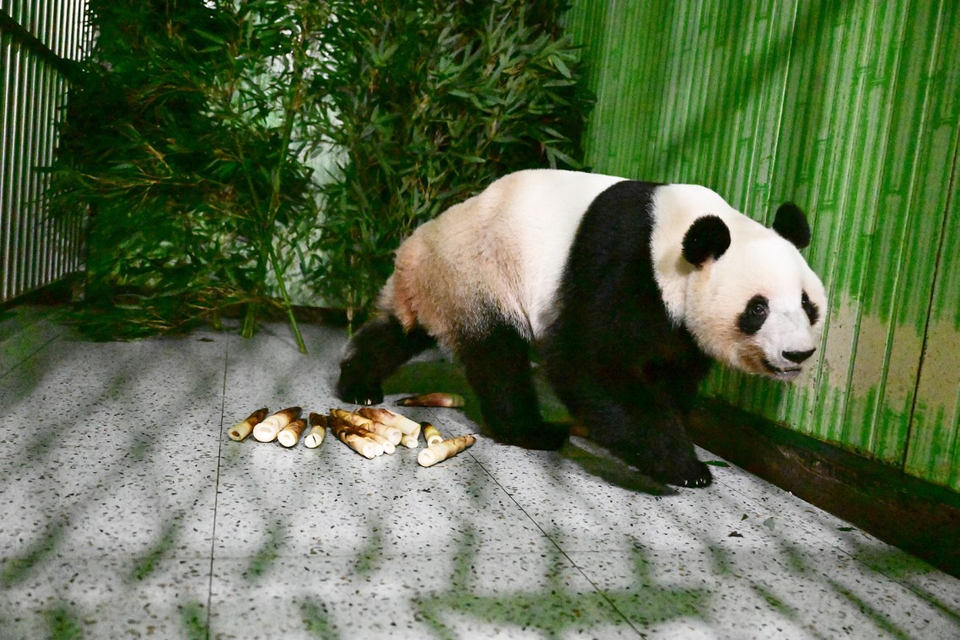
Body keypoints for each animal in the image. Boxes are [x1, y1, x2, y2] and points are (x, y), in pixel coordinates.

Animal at [337, 169, 827, 488]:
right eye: (758, 308)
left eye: (808, 304)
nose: (797, 354)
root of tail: (414, 248)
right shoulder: (623, 262)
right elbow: (587, 361)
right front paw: (683, 467)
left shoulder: (679, 326)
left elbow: (671, 371)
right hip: (478, 276)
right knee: (499, 358)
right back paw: (533, 431)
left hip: (441, 288)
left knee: (398, 333)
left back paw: (358, 384)